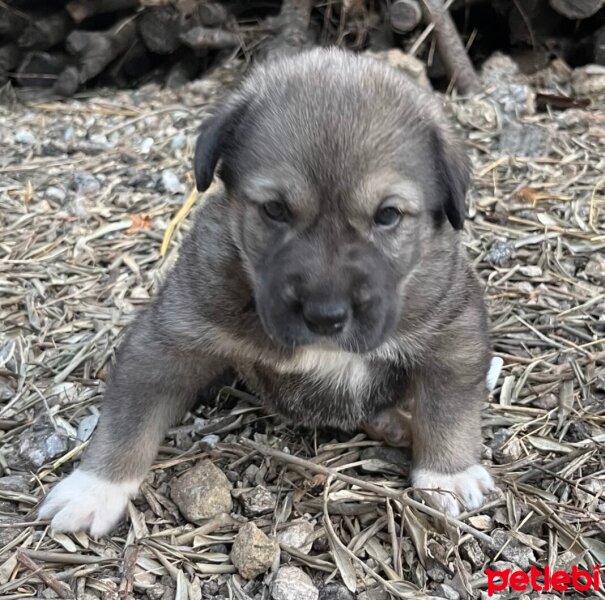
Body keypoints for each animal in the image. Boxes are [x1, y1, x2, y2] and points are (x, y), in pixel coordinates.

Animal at [41, 45, 496, 536]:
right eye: (275, 210)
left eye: (388, 215)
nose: (325, 316)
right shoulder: (170, 337)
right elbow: (130, 417)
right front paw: (94, 488)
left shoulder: (451, 330)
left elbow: (446, 408)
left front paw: (448, 474)